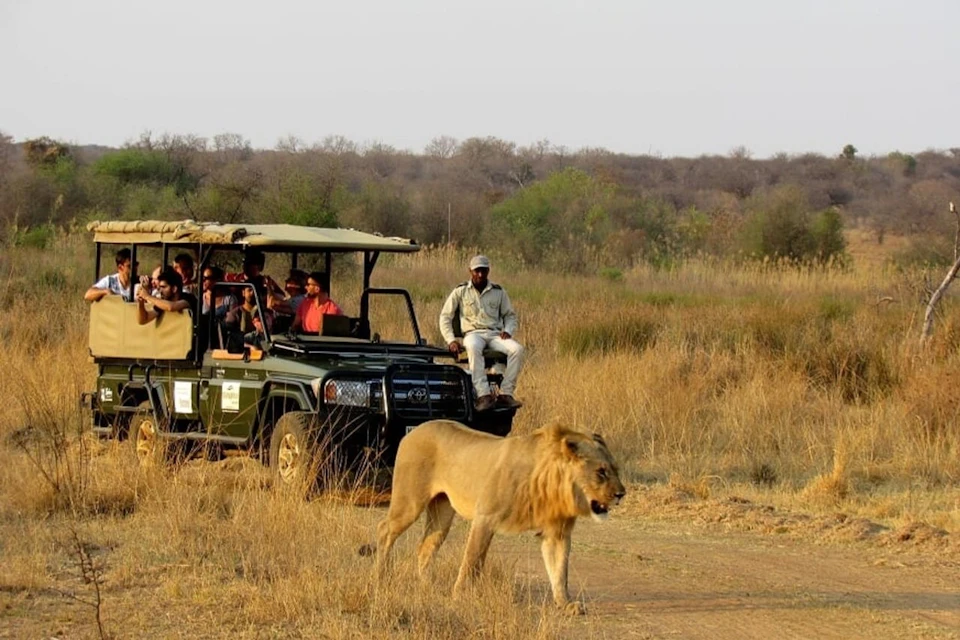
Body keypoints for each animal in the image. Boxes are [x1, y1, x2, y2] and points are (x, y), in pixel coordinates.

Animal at [372, 419, 626, 615]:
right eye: (601, 472)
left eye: (615, 469)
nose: (621, 494)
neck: (552, 484)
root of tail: (415, 430)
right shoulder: (485, 518)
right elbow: (472, 561)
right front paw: (461, 596)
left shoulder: (557, 533)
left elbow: (559, 570)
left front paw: (565, 604)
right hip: (410, 502)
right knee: (384, 529)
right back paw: (381, 577)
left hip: (442, 512)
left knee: (426, 546)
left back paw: (427, 586)